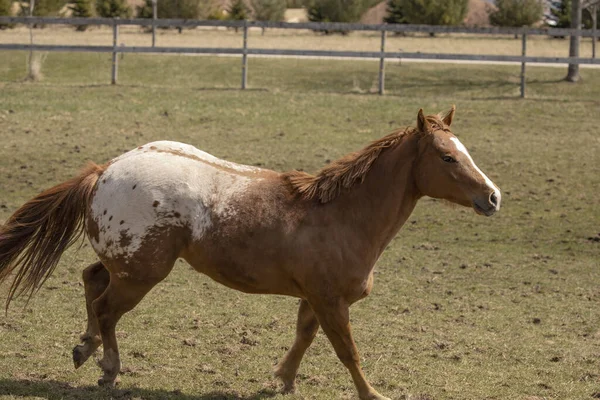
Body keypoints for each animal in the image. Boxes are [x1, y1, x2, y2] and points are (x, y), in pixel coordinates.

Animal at [0, 107, 502, 400]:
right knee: (106, 308)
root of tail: (106, 170)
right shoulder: (330, 300)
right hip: (141, 274)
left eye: (464, 150)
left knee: (91, 281)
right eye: (447, 157)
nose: (493, 197)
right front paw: (372, 395)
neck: (341, 214)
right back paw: (108, 369)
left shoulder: (314, 298)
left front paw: (283, 380)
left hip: (125, 264)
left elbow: (304, 337)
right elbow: (347, 351)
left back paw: (84, 348)